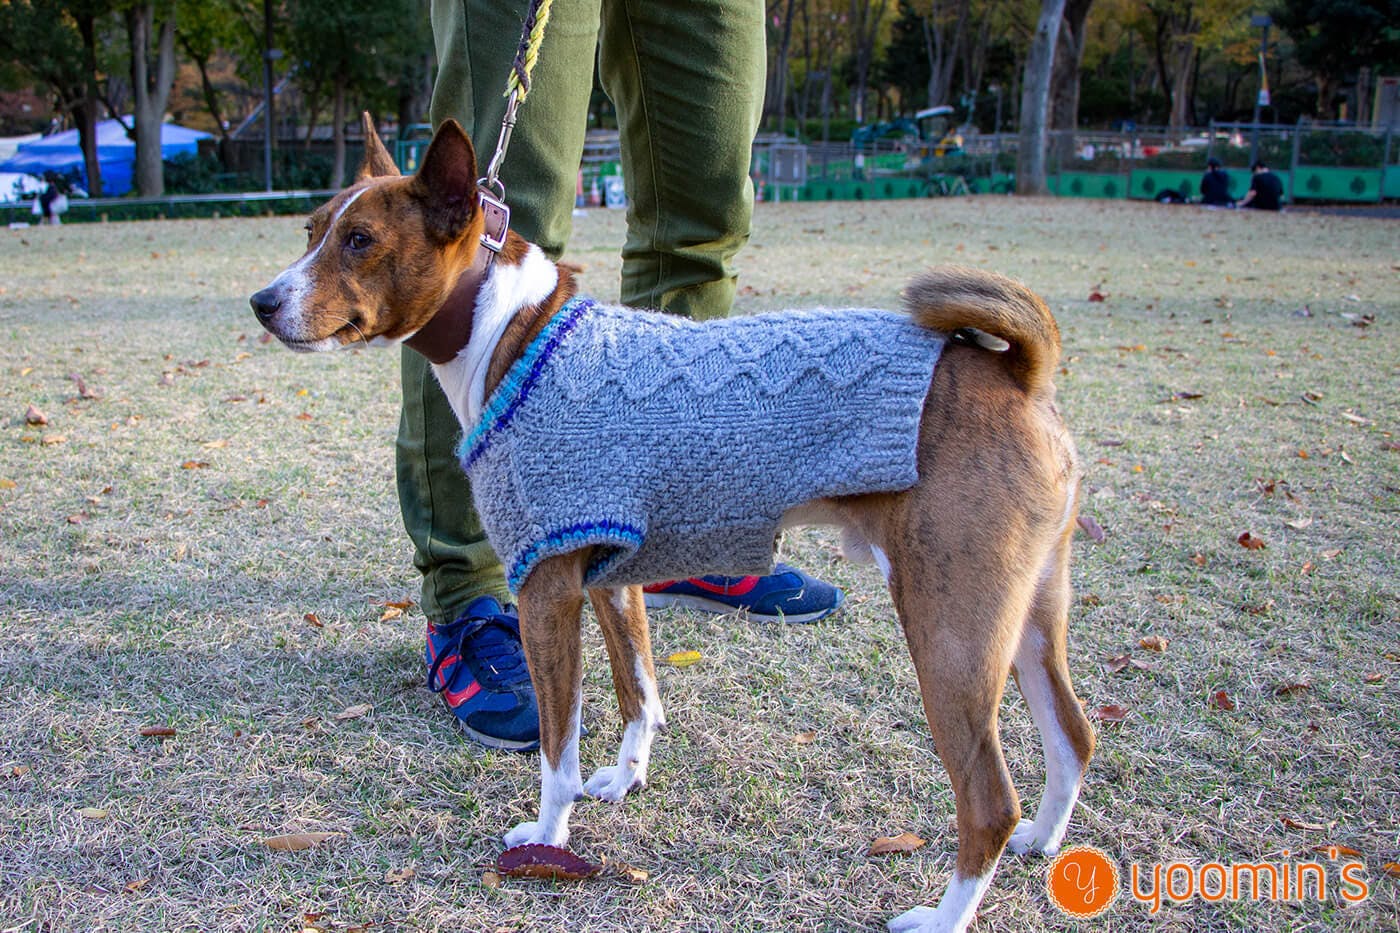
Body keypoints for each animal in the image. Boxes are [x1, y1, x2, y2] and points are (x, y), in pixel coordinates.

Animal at [257, 118, 1097, 930]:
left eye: (359, 240)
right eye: (310, 229)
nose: (263, 301)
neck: (512, 334)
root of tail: (1018, 372)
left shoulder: (546, 593)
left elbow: (558, 747)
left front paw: (548, 835)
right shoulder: (608, 576)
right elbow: (640, 692)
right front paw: (625, 779)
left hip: (950, 629)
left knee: (987, 799)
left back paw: (946, 913)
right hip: (1026, 613)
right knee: (1073, 736)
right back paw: (1045, 840)